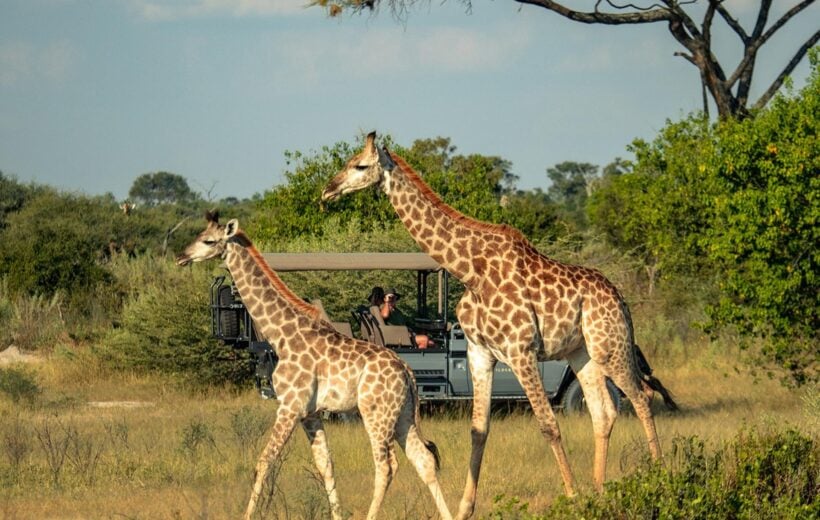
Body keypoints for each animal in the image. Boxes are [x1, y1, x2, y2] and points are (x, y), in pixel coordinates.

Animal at [175, 211, 452, 520]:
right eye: (198, 235)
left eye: (208, 241)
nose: (181, 256)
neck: (281, 336)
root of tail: (407, 372)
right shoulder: (311, 413)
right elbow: (326, 467)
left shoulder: (289, 406)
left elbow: (264, 462)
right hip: (402, 414)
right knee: (423, 459)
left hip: (376, 414)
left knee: (386, 466)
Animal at [322, 132, 668, 516]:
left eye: (360, 165)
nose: (328, 190)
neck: (471, 271)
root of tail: (621, 299)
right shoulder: (479, 353)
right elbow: (478, 429)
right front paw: (463, 510)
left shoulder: (521, 349)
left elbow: (548, 425)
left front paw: (573, 498)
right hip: (582, 353)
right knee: (603, 411)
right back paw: (600, 491)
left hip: (611, 346)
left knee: (640, 398)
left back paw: (658, 481)